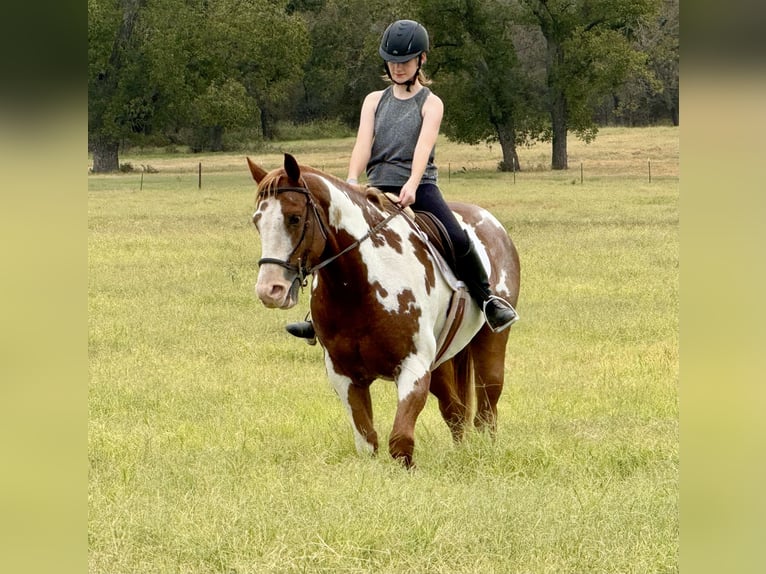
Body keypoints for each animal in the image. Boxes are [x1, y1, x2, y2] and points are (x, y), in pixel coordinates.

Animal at [248, 154, 520, 472]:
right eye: (257, 221)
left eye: (294, 217)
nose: (270, 289)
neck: (358, 286)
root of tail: (493, 223)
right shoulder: (344, 375)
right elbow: (368, 443)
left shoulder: (413, 367)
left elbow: (400, 442)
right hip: (440, 363)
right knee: (454, 411)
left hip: (490, 344)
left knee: (487, 409)